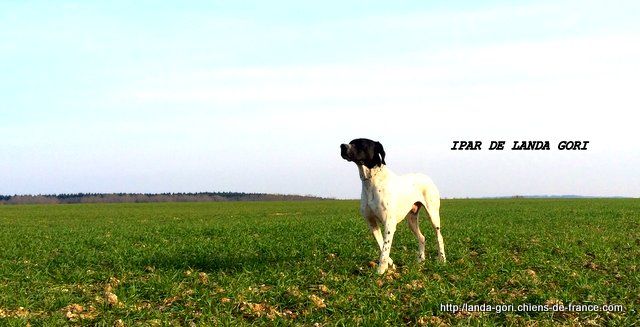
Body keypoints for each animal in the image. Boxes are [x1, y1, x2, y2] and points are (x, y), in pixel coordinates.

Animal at [340, 138, 444, 274]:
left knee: (439, 237)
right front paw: (391, 264)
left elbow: (385, 248)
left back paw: (442, 260)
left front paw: (381, 270)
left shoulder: (389, 223)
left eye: (361, 144)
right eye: (351, 141)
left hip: (433, 215)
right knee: (422, 237)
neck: (371, 181)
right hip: (411, 220)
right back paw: (420, 260)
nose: (342, 146)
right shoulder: (371, 223)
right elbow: (381, 245)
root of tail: (427, 178)